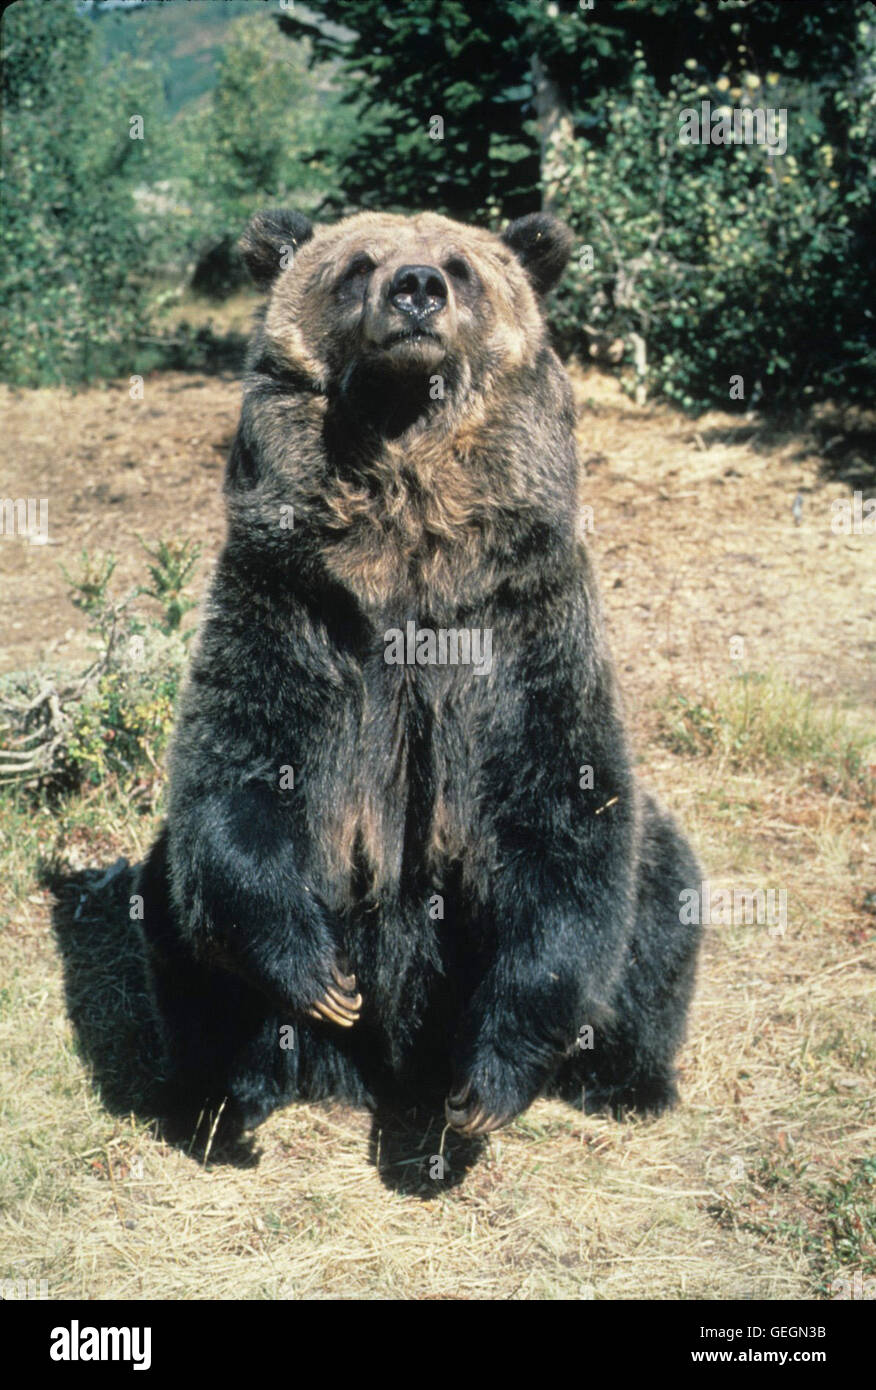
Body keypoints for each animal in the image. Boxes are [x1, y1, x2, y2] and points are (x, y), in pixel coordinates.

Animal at [137, 206, 703, 1147]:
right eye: (358, 263)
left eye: (460, 264)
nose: (415, 289)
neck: (407, 540)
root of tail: (386, 1076)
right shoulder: (291, 597)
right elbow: (238, 779)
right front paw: (320, 980)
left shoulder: (521, 615)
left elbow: (565, 812)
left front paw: (488, 1083)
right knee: (170, 907)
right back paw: (229, 1101)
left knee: (661, 894)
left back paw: (626, 1080)